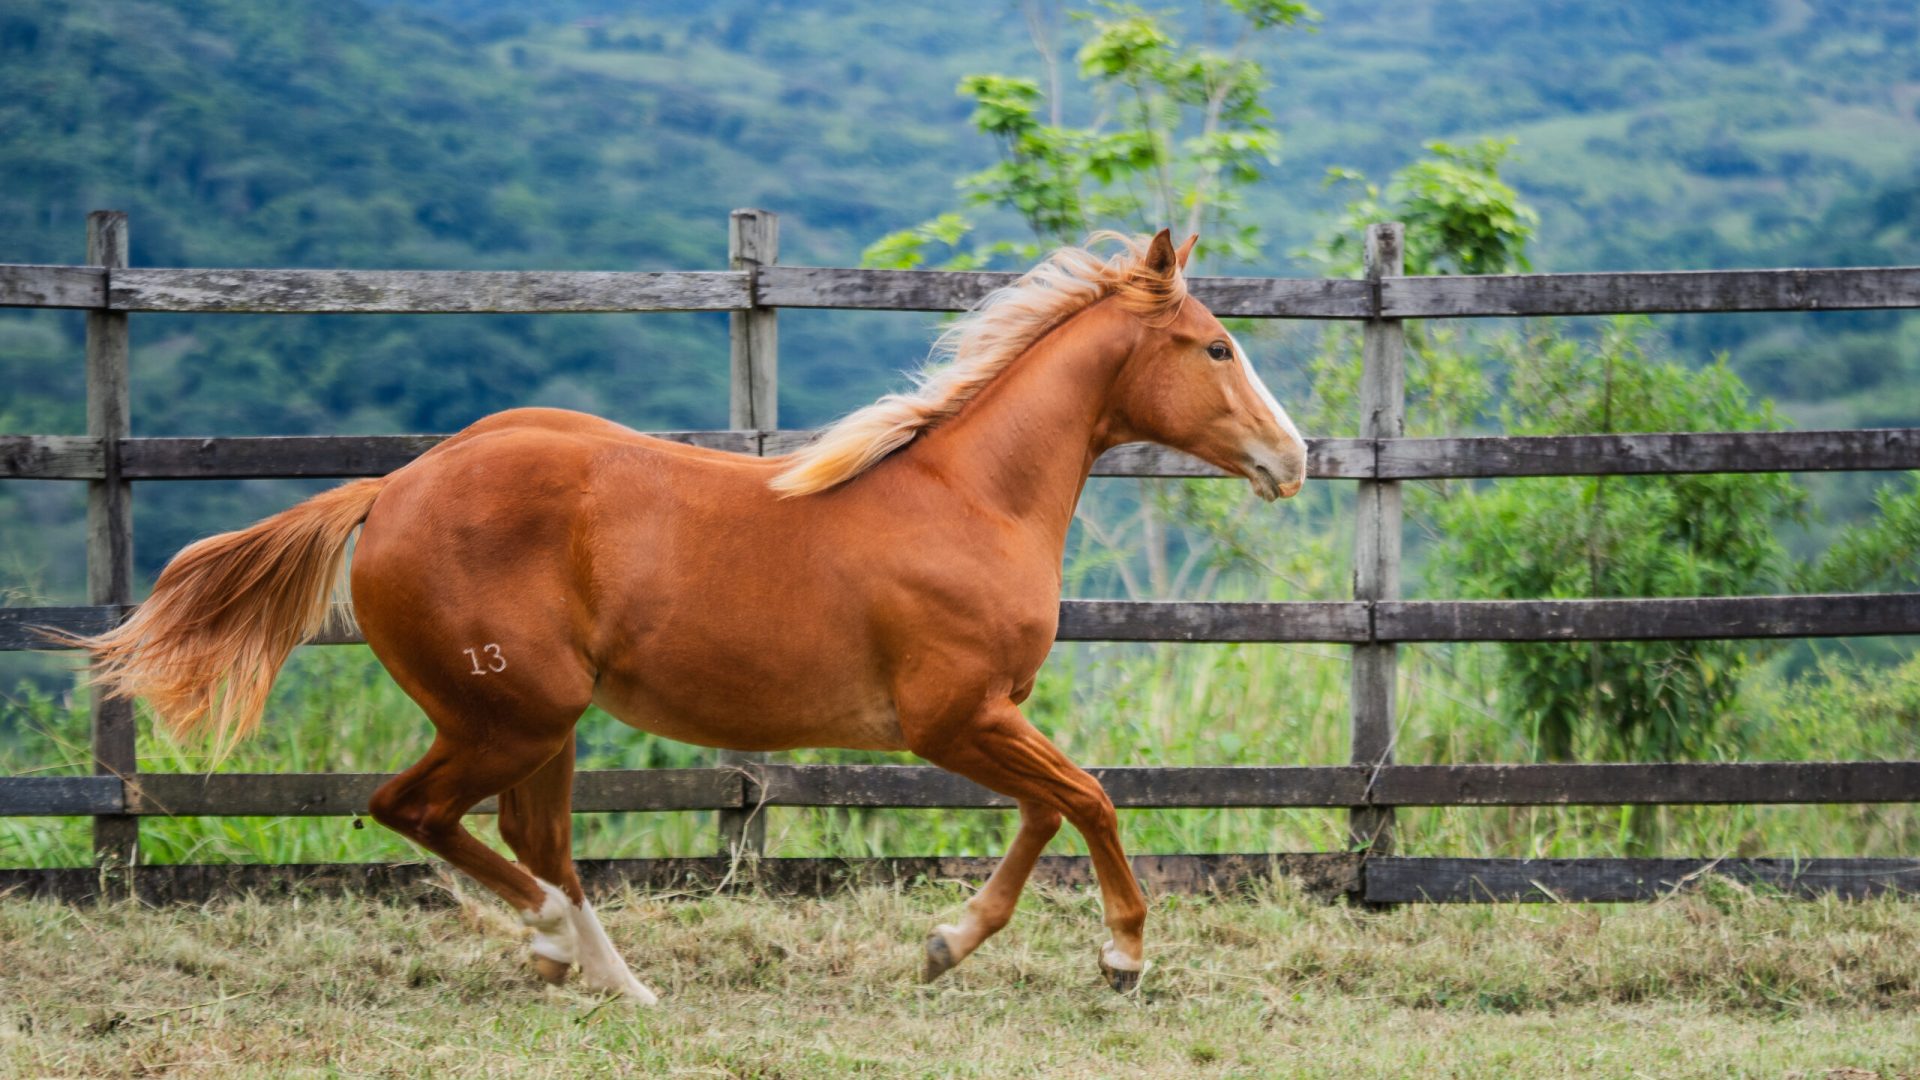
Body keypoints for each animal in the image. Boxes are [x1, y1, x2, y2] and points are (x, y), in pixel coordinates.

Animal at [67, 229, 1307, 1003]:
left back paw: (609, 979)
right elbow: (1091, 798)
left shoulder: (986, 720)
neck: (970, 498)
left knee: (532, 838)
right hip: (513, 715)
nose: (1294, 459)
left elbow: (1052, 810)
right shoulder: (955, 719)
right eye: (1216, 345)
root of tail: (391, 488)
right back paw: (559, 946)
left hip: (537, 726)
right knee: (420, 813)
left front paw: (947, 945)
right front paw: (1121, 959)